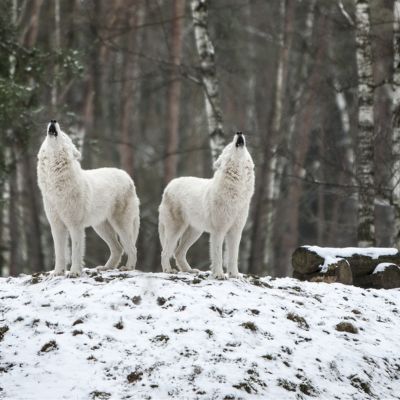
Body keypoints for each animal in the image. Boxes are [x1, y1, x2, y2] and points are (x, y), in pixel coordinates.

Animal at [37, 120, 141, 276]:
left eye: (64, 135)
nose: (53, 120)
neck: (55, 183)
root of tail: (128, 177)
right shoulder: (56, 226)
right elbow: (59, 253)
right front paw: (58, 272)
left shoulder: (75, 226)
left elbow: (75, 251)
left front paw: (74, 272)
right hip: (101, 227)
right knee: (118, 248)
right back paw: (106, 267)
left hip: (120, 225)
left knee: (132, 248)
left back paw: (128, 268)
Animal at [158, 131, 255, 278]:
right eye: (229, 147)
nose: (239, 132)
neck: (238, 190)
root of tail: (168, 186)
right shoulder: (218, 231)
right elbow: (218, 255)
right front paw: (219, 274)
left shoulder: (236, 231)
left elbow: (233, 256)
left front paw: (234, 275)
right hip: (176, 230)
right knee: (165, 252)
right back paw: (168, 270)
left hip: (195, 232)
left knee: (178, 252)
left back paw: (189, 270)